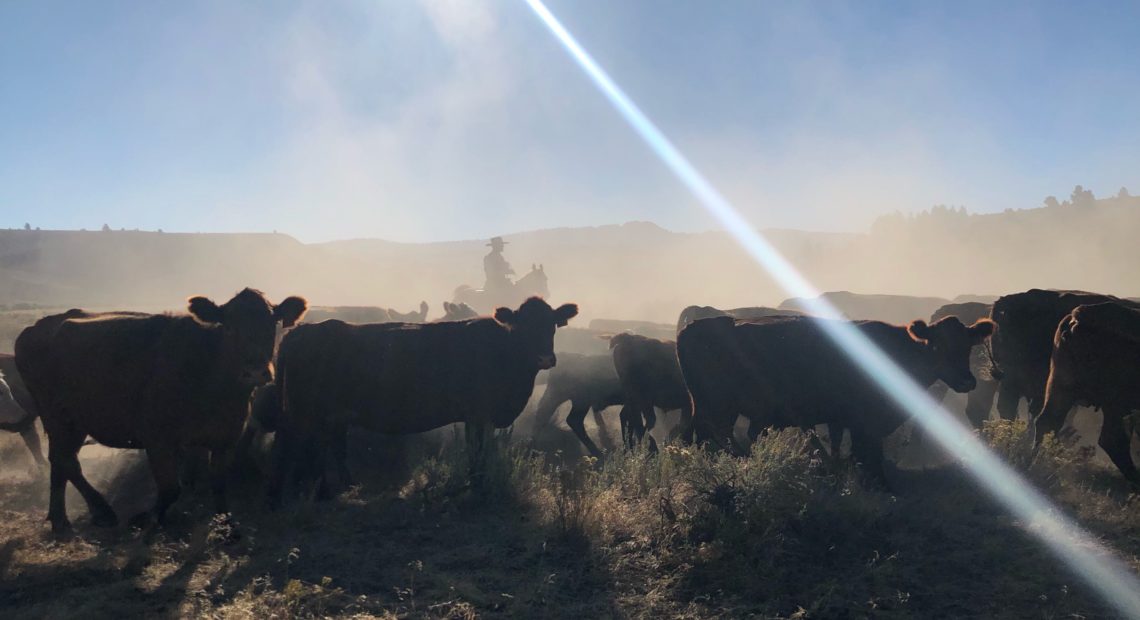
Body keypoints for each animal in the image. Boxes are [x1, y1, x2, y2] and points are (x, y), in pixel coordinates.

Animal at [15, 290, 307, 533]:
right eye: (229, 326)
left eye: (272, 324)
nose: (255, 371)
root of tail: (35, 328)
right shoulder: (157, 439)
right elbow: (170, 488)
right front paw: (146, 518)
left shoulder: (224, 439)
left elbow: (218, 484)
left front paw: (225, 525)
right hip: (57, 417)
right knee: (64, 460)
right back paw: (94, 513)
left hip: (76, 422)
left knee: (63, 461)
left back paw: (63, 517)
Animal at [271, 296, 579, 503]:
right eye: (523, 326)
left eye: (552, 325)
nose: (545, 358)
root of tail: (299, 332)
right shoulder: (480, 414)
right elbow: (479, 451)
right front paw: (478, 485)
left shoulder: (476, 417)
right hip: (305, 413)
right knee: (299, 448)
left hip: (329, 415)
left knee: (327, 448)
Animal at [679, 316, 994, 480]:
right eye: (937, 345)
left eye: (967, 346)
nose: (967, 380)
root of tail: (694, 325)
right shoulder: (863, 419)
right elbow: (868, 453)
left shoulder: (841, 418)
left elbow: (844, 447)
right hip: (714, 406)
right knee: (708, 438)